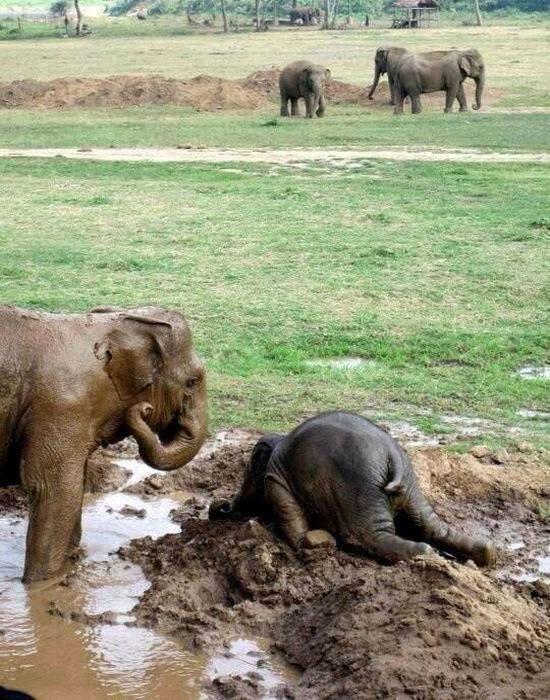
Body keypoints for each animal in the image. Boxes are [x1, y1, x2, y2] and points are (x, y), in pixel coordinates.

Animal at [0, 305, 207, 582]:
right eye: (192, 382)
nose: (145, 409)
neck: (113, 324)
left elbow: (76, 485)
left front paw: (72, 564)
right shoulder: (60, 408)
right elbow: (54, 489)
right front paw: (40, 585)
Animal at [209, 412, 495, 567]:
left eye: (250, 466)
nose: (221, 505)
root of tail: (392, 455)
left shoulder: (276, 481)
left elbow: (290, 516)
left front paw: (308, 544)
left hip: (360, 488)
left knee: (372, 535)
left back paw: (425, 555)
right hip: (409, 485)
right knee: (431, 525)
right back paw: (483, 553)